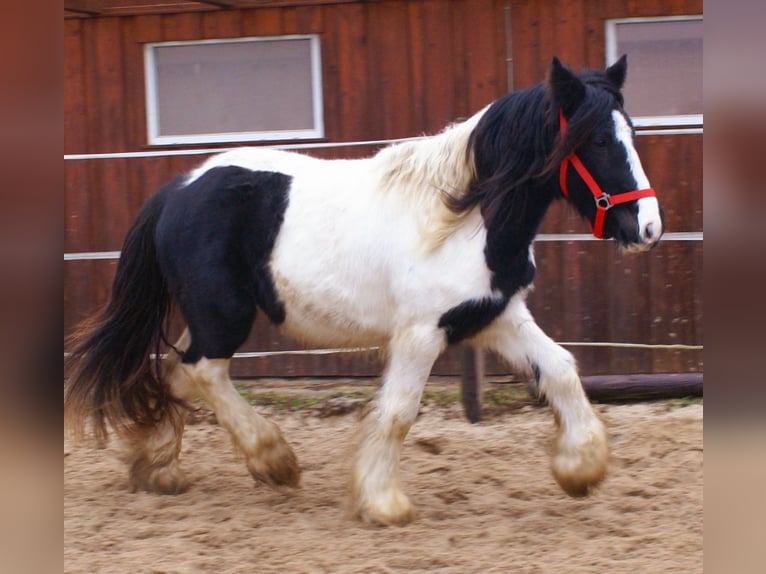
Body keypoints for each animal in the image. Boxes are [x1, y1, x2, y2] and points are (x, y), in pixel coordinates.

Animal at [64, 57, 664, 528]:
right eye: (597, 139)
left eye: (632, 131)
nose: (648, 227)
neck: (464, 216)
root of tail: (175, 191)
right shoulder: (421, 334)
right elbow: (398, 413)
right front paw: (383, 503)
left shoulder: (496, 317)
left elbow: (560, 368)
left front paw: (581, 469)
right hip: (224, 315)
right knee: (201, 371)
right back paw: (272, 460)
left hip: (208, 315)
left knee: (174, 370)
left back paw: (157, 467)